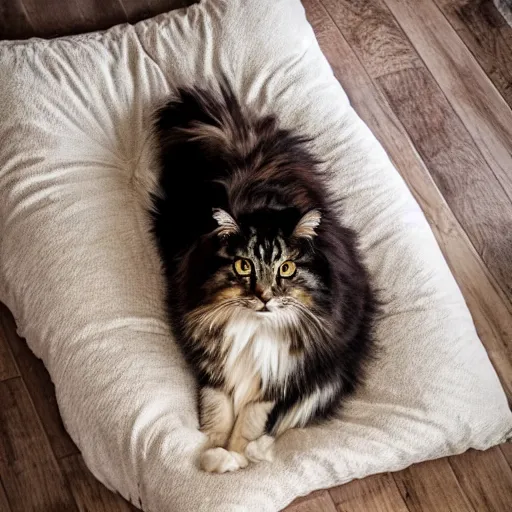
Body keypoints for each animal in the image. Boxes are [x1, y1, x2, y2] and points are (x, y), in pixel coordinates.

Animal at [150, 83, 378, 472]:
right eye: (244, 266)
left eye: (286, 268)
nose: (264, 296)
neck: (253, 330)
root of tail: (248, 152)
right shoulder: (214, 365)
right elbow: (218, 413)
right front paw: (213, 453)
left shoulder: (280, 378)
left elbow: (252, 421)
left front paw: (237, 457)